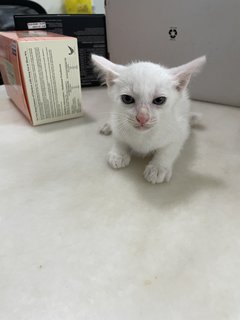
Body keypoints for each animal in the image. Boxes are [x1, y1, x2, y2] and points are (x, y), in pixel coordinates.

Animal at [92, 54, 206, 182]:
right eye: (127, 99)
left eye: (159, 100)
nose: (142, 117)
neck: (142, 136)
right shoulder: (118, 124)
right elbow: (119, 138)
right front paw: (118, 154)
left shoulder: (180, 131)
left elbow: (168, 149)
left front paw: (158, 168)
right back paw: (108, 125)